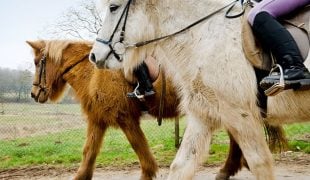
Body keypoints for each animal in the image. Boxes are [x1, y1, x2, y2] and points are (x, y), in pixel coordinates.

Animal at [26, 40, 286, 179]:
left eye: (38, 62)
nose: (34, 94)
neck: (95, 72)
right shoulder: (98, 120)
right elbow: (88, 152)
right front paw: (81, 175)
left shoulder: (126, 118)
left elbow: (140, 148)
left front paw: (148, 172)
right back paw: (230, 167)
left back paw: (229, 167)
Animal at [89, 0, 310, 179]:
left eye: (113, 7)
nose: (94, 56)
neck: (206, 38)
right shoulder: (203, 116)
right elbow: (181, 166)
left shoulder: (242, 116)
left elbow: (260, 164)